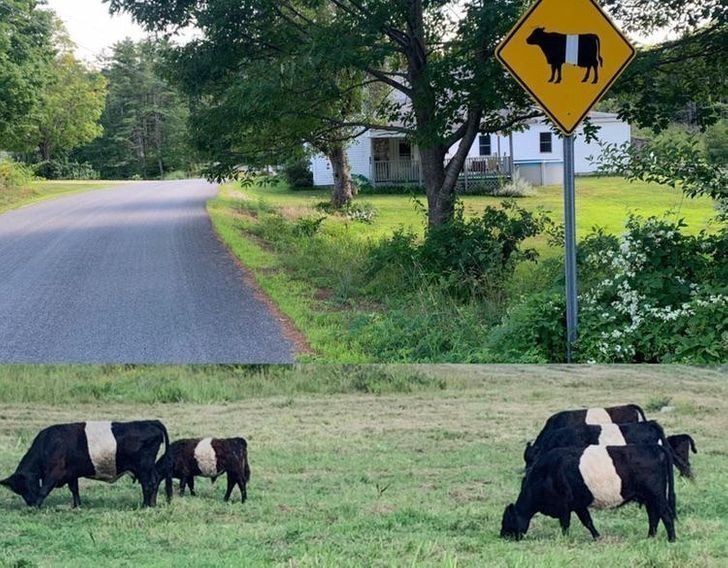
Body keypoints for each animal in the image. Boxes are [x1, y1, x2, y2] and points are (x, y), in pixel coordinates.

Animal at [0, 420, 172, 508]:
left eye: (27, 485)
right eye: (18, 491)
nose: (30, 503)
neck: (49, 444)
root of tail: (151, 422)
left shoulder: (55, 472)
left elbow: (44, 489)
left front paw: (36, 506)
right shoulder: (71, 473)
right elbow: (74, 489)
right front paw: (77, 506)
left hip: (143, 466)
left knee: (148, 484)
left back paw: (145, 505)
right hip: (146, 468)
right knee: (155, 481)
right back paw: (152, 504)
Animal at [500, 444, 676, 540]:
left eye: (506, 520)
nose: (502, 536)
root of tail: (653, 447)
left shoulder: (564, 505)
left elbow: (565, 524)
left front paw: (564, 539)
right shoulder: (578, 504)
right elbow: (587, 521)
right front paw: (597, 537)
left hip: (656, 494)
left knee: (666, 514)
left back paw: (671, 539)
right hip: (649, 497)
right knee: (654, 515)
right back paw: (650, 537)